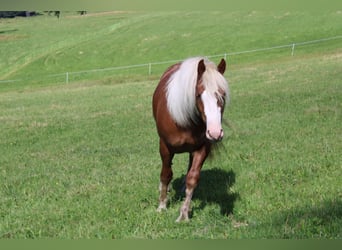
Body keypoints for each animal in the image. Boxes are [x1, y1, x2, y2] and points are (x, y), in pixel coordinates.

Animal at [152, 56, 230, 221]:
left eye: (223, 94)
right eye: (199, 94)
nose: (215, 133)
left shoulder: (202, 148)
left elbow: (192, 178)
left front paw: (184, 214)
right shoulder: (165, 147)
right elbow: (166, 174)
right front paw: (162, 206)